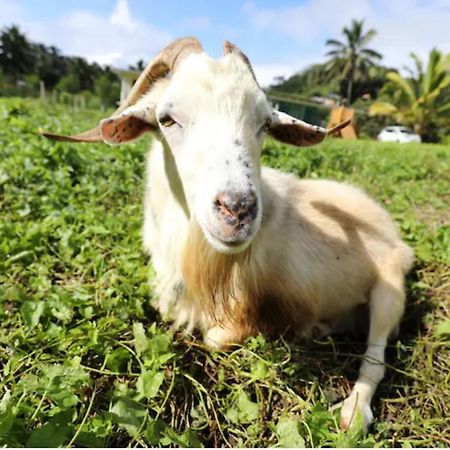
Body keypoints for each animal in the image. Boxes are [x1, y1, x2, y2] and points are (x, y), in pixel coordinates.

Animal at [43, 37, 414, 430]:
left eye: (264, 123)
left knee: (376, 358)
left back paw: (353, 412)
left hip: (389, 290)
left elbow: (217, 336)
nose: (237, 209)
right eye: (167, 118)